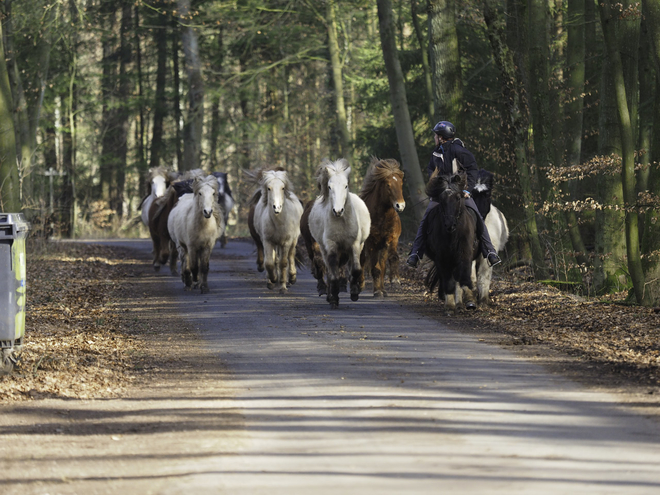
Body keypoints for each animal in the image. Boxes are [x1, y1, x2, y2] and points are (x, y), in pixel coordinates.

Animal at [310, 159, 372, 308]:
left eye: (345, 186)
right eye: (329, 187)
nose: (337, 211)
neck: (342, 221)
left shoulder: (354, 244)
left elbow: (355, 269)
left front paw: (354, 293)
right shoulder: (331, 245)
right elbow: (333, 271)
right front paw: (334, 298)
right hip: (323, 248)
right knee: (329, 268)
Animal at [358, 158, 404, 298]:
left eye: (401, 184)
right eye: (388, 185)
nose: (400, 206)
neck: (382, 217)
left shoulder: (391, 238)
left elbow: (392, 258)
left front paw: (395, 280)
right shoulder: (371, 242)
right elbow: (375, 268)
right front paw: (377, 291)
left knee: (381, 264)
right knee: (362, 261)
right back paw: (361, 285)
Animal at [422, 172, 480, 316]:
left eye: (458, 198)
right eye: (441, 200)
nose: (450, 225)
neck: (453, 234)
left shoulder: (465, 253)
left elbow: (463, 276)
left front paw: (470, 300)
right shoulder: (442, 257)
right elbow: (448, 281)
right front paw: (449, 306)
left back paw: (460, 303)